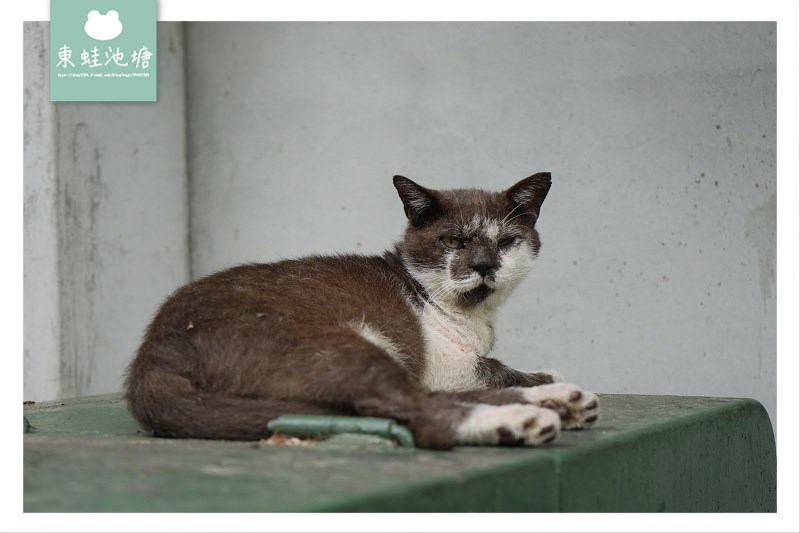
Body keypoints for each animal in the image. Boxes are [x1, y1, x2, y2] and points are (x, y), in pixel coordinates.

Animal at [125, 172, 596, 446]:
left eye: (505, 242)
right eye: (453, 241)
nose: (484, 265)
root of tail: (150, 358)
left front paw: (553, 386)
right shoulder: (446, 364)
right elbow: (493, 369)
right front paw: (546, 381)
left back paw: (562, 403)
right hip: (339, 345)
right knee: (408, 405)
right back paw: (526, 417)